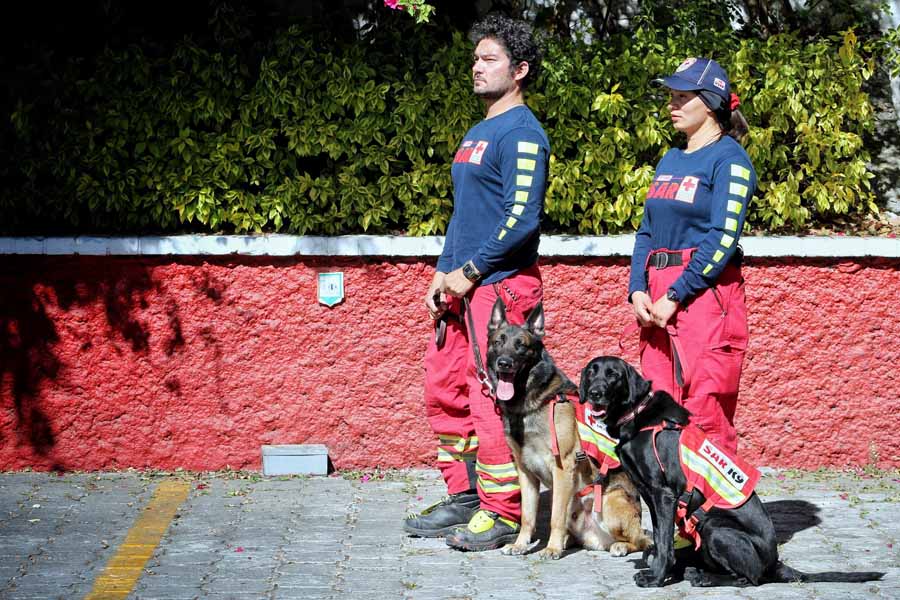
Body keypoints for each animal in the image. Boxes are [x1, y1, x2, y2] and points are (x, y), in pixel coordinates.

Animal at [488, 302, 652, 560]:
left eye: (521, 345)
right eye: (498, 342)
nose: (504, 363)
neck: (529, 403)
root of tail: (597, 540)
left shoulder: (563, 466)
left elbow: (555, 516)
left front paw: (552, 548)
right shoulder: (525, 471)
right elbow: (527, 516)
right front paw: (521, 544)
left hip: (610, 501)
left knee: (640, 539)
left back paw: (619, 545)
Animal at [580, 356, 884, 584]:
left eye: (613, 375)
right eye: (591, 373)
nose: (595, 393)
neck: (637, 414)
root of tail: (775, 563)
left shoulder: (662, 494)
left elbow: (664, 542)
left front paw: (656, 578)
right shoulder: (650, 496)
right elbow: (657, 536)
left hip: (716, 527)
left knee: (751, 578)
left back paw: (703, 578)